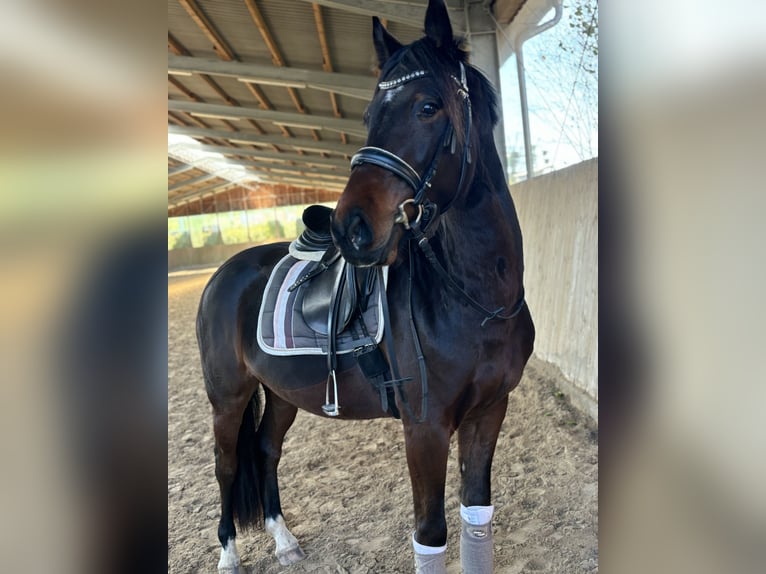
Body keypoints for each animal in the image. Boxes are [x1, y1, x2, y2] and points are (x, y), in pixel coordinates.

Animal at [196, 1, 534, 572]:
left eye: (427, 107)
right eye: (370, 115)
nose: (349, 227)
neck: (476, 301)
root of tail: (222, 275)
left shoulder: (489, 412)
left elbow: (476, 517)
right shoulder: (425, 429)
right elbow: (431, 532)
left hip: (281, 393)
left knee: (264, 450)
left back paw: (284, 541)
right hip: (228, 398)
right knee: (226, 465)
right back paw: (229, 554)